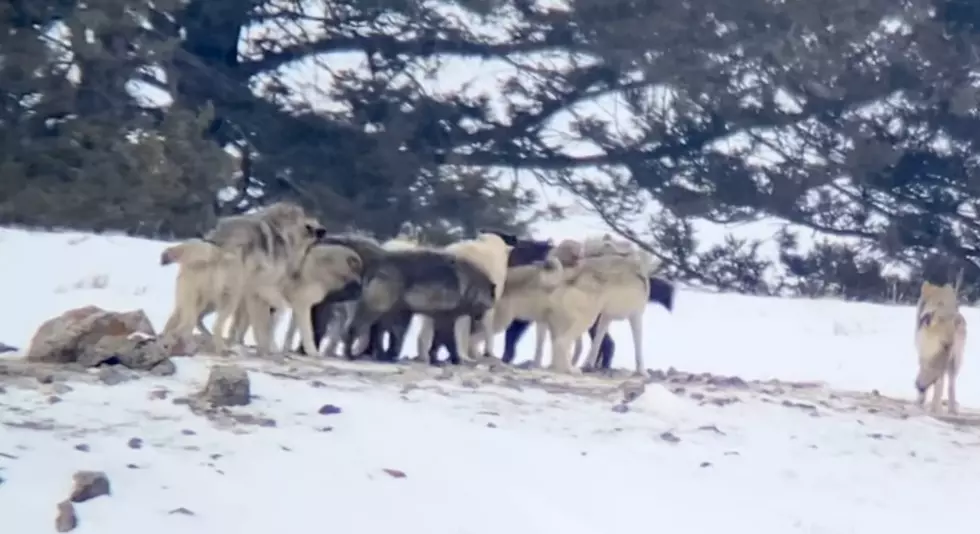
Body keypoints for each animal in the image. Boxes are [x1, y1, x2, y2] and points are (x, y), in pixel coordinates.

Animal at [916, 282, 968, 416]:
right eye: (938, 303)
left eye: (943, 303)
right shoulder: (924, 356)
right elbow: (926, 375)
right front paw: (920, 401)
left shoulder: (939, 357)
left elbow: (938, 384)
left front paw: (934, 408)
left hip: (954, 363)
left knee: (950, 385)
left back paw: (950, 408)